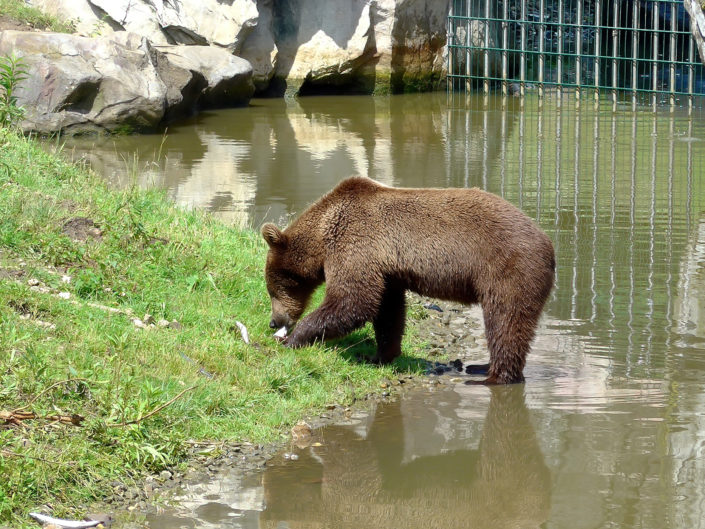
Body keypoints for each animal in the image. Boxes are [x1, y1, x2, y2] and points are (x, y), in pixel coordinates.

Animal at [261, 176, 555, 384]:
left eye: (272, 289)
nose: (274, 321)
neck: (323, 235)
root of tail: (549, 245)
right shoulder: (387, 270)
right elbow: (387, 311)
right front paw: (378, 355)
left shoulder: (356, 245)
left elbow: (352, 300)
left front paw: (294, 339)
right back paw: (481, 367)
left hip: (508, 269)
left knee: (505, 320)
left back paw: (493, 376)